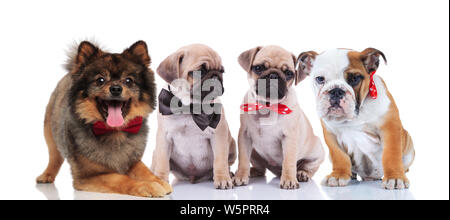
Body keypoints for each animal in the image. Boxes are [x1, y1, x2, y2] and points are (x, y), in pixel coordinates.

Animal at [36, 40, 172, 197]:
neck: (114, 132)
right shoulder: (89, 175)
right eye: (100, 80)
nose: (116, 88)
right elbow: (121, 178)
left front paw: (158, 181)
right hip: (50, 134)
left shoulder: (132, 161)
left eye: (128, 80)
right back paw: (46, 175)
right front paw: (147, 186)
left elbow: (145, 171)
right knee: (54, 157)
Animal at [150, 43, 236, 189]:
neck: (189, 107)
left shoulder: (218, 135)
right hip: (155, 152)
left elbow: (220, 160)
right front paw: (160, 180)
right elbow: (162, 162)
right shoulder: (163, 138)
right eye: (200, 71)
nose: (216, 76)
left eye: (222, 71)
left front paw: (223, 178)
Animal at [234, 45, 326, 189]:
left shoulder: (289, 138)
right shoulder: (244, 135)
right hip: (254, 153)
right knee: (261, 168)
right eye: (258, 68)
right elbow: (243, 159)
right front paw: (241, 175)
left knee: (309, 167)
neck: (268, 106)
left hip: (317, 151)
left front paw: (289, 179)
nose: (274, 75)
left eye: (288, 73)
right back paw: (251, 171)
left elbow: (289, 161)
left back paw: (302, 173)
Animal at [298, 48, 416, 189]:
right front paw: (338, 175)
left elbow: (391, 155)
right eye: (320, 79)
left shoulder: (390, 128)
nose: (336, 91)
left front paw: (395, 177)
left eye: (354, 78)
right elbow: (339, 156)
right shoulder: (331, 135)